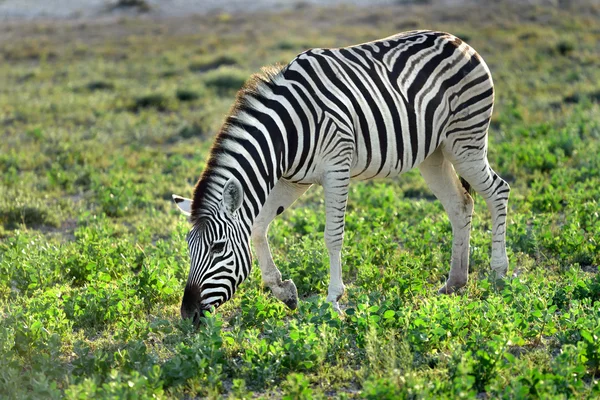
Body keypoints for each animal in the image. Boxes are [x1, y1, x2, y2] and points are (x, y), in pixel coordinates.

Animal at [173, 29, 510, 324]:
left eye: (217, 248)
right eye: (189, 248)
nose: (188, 314)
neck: (286, 133)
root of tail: (457, 40)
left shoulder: (337, 169)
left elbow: (332, 236)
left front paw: (333, 301)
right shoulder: (292, 181)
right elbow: (256, 227)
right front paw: (285, 292)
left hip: (465, 141)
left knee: (498, 190)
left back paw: (499, 274)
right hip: (434, 153)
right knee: (460, 205)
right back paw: (455, 282)